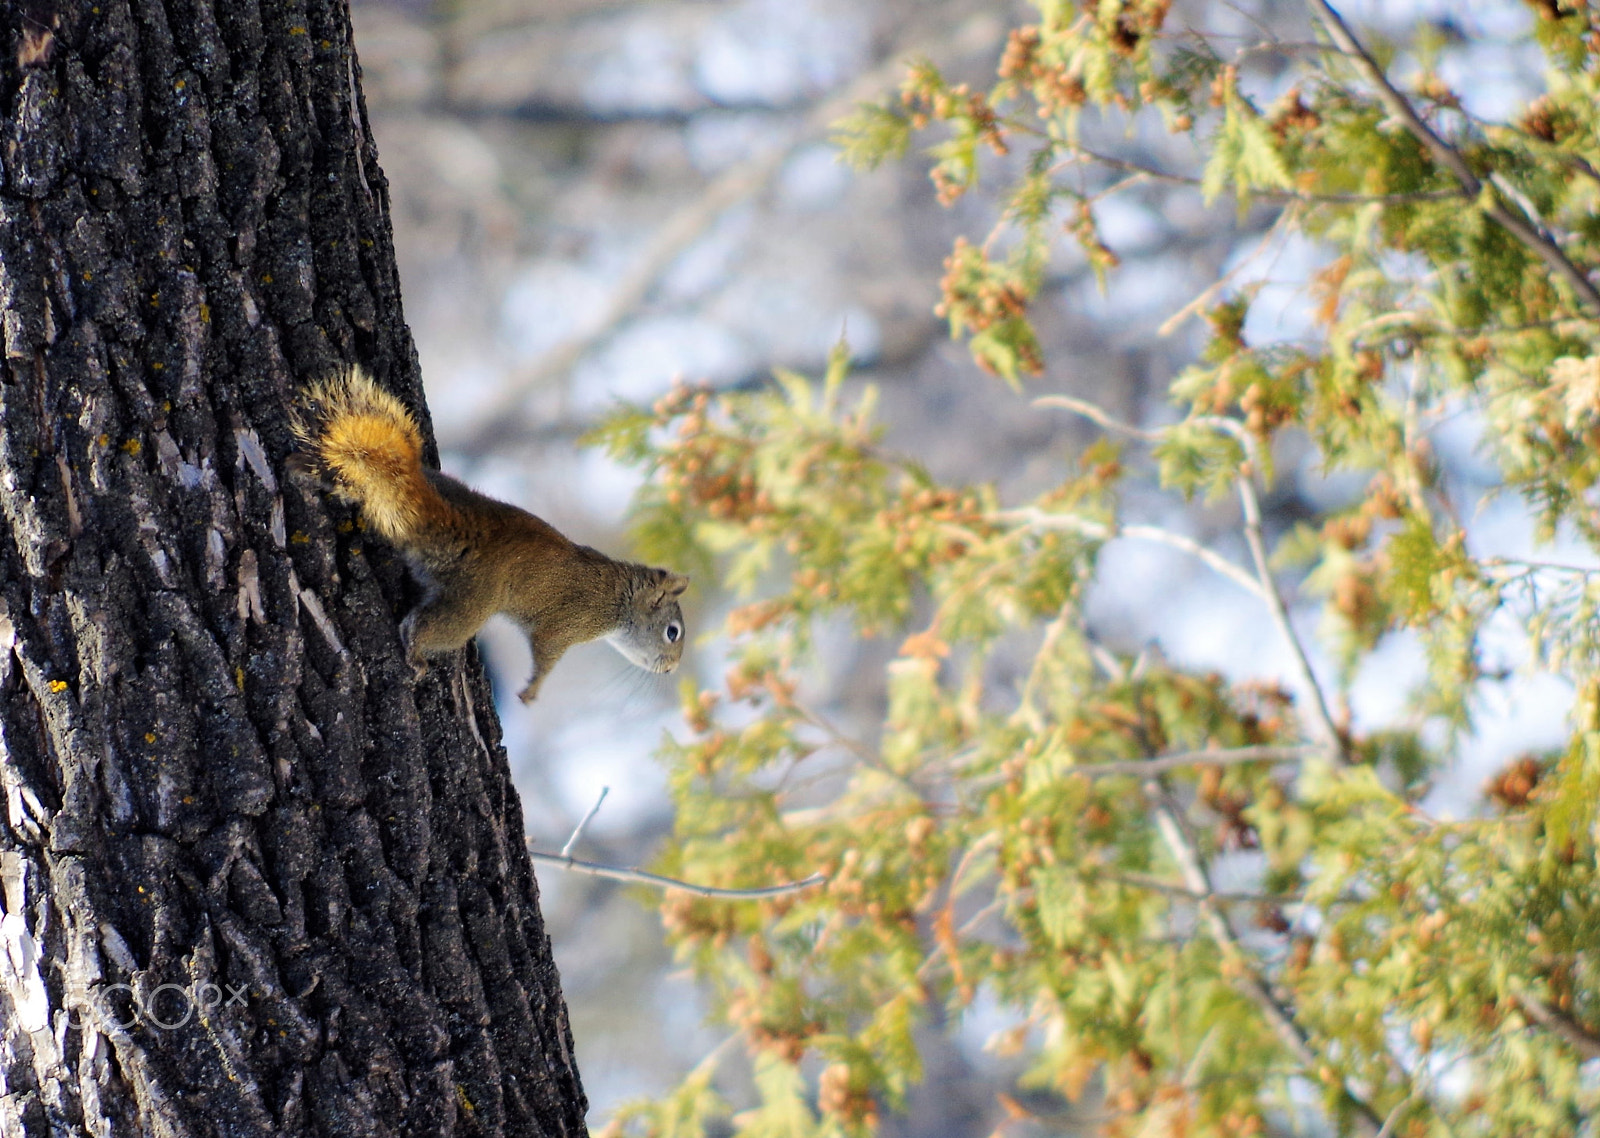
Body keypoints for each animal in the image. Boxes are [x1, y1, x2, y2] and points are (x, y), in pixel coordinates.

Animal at [294, 364, 688, 704]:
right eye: (673, 632)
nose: (671, 669)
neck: (618, 597)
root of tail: (464, 524)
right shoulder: (565, 626)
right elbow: (545, 656)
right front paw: (532, 691)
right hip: (471, 601)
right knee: (427, 627)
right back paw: (417, 654)